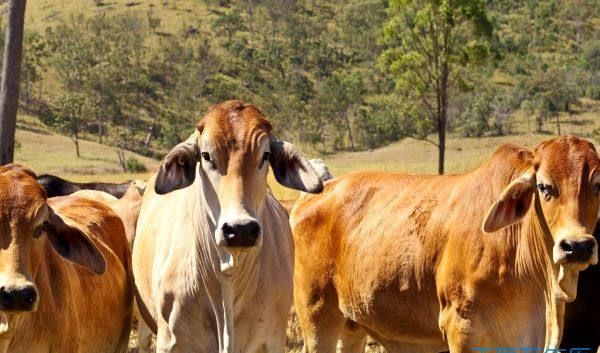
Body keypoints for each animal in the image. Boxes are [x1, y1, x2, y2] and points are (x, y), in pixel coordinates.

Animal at [134, 99, 326, 352]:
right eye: (206, 155)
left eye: (265, 155)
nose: (240, 229)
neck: (227, 276)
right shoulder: (171, 342)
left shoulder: (272, 339)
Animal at [290, 136, 600, 350]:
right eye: (544, 186)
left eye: (598, 186)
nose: (577, 246)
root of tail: (317, 193)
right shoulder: (461, 328)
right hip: (316, 316)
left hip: (350, 324)